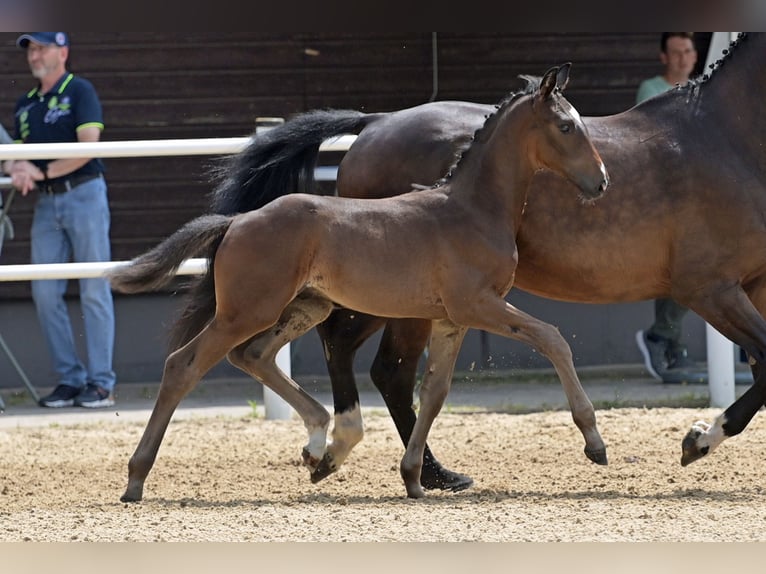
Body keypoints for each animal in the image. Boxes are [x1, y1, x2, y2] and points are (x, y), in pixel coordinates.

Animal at [109, 65, 612, 502]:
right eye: (566, 126)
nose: (602, 182)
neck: (470, 209)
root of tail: (236, 221)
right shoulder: (478, 305)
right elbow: (552, 338)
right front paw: (595, 442)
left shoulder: (451, 319)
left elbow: (434, 393)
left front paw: (413, 478)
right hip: (247, 310)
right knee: (183, 365)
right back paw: (136, 479)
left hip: (305, 305)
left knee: (253, 355)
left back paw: (320, 446)